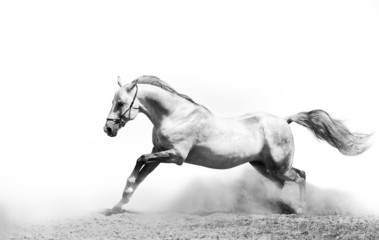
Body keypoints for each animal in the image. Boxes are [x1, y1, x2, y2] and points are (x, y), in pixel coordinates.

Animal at [104, 75, 372, 214]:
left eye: (121, 103)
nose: (108, 129)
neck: (176, 115)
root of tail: (284, 120)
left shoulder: (175, 156)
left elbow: (139, 161)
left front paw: (120, 202)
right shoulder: (158, 152)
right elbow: (139, 175)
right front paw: (118, 205)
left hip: (279, 165)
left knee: (300, 176)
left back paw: (300, 209)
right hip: (262, 166)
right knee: (282, 183)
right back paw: (272, 207)